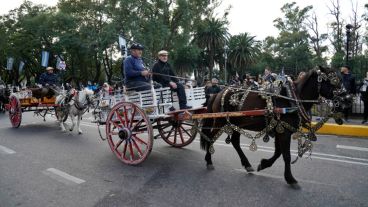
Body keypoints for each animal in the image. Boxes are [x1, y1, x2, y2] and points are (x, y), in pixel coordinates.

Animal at [200, 66, 350, 188]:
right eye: (334, 80)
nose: (348, 100)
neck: (292, 99)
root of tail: (218, 93)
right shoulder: (284, 132)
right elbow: (286, 155)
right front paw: (290, 178)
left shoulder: (280, 129)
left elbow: (279, 152)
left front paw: (264, 164)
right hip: (220, 121)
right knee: (210, 137)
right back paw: (208, 160)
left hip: (237, 123)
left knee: (235, 142)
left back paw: (247, 165)